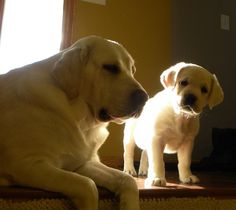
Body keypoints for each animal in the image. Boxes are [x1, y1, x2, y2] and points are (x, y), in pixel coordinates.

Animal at [0, 36, 148, 210]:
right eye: (110, 67)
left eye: (132, 70)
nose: (144, 98)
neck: (81, 118)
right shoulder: (27, 165)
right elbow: (88, 185)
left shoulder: (83, 162)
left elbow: (128, 180)